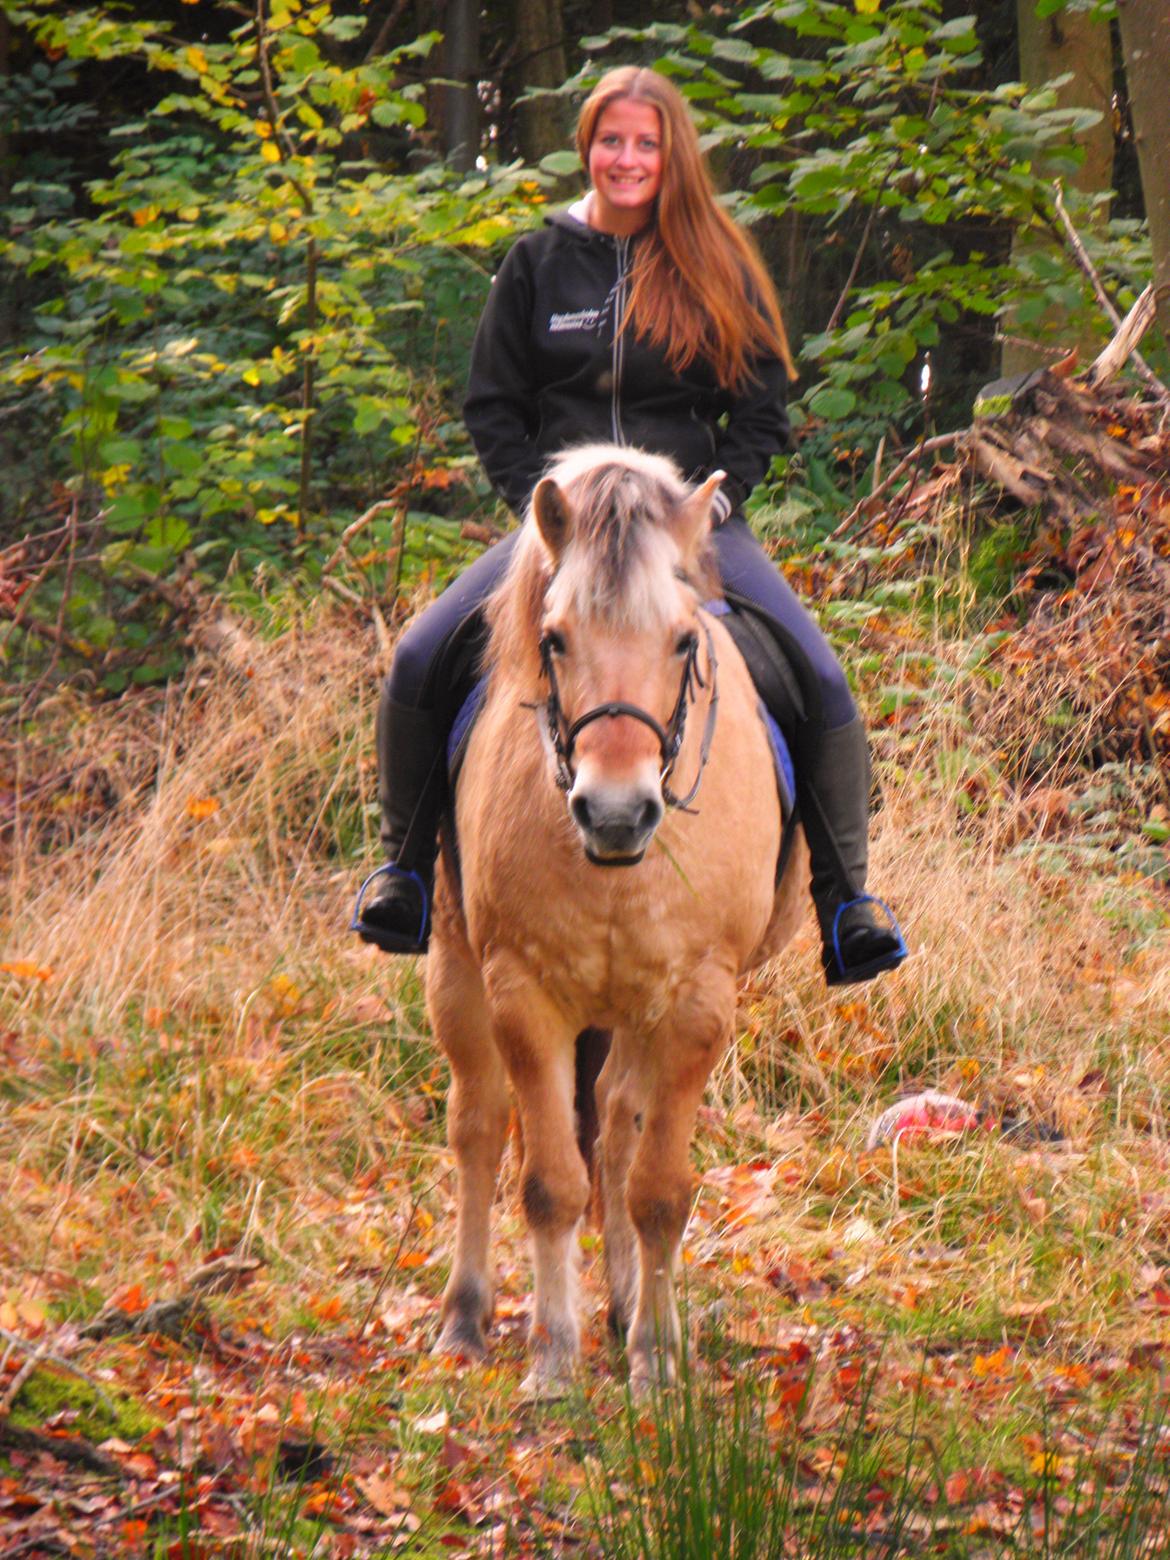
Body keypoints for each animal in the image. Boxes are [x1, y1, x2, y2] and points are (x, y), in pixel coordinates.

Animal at [427, 439, 811, 1391]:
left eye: (682, 641)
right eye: (556, 639)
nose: (614, 813)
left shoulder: (695, 1004)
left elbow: (657, 1189)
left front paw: (657, 1360)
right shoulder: (522, 995)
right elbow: (549, 1184)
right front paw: (553, 1359)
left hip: (637, 1011)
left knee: (616, 1127)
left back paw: (628, 1304)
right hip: (454, 967)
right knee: (478, 1125)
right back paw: (466, 1317)